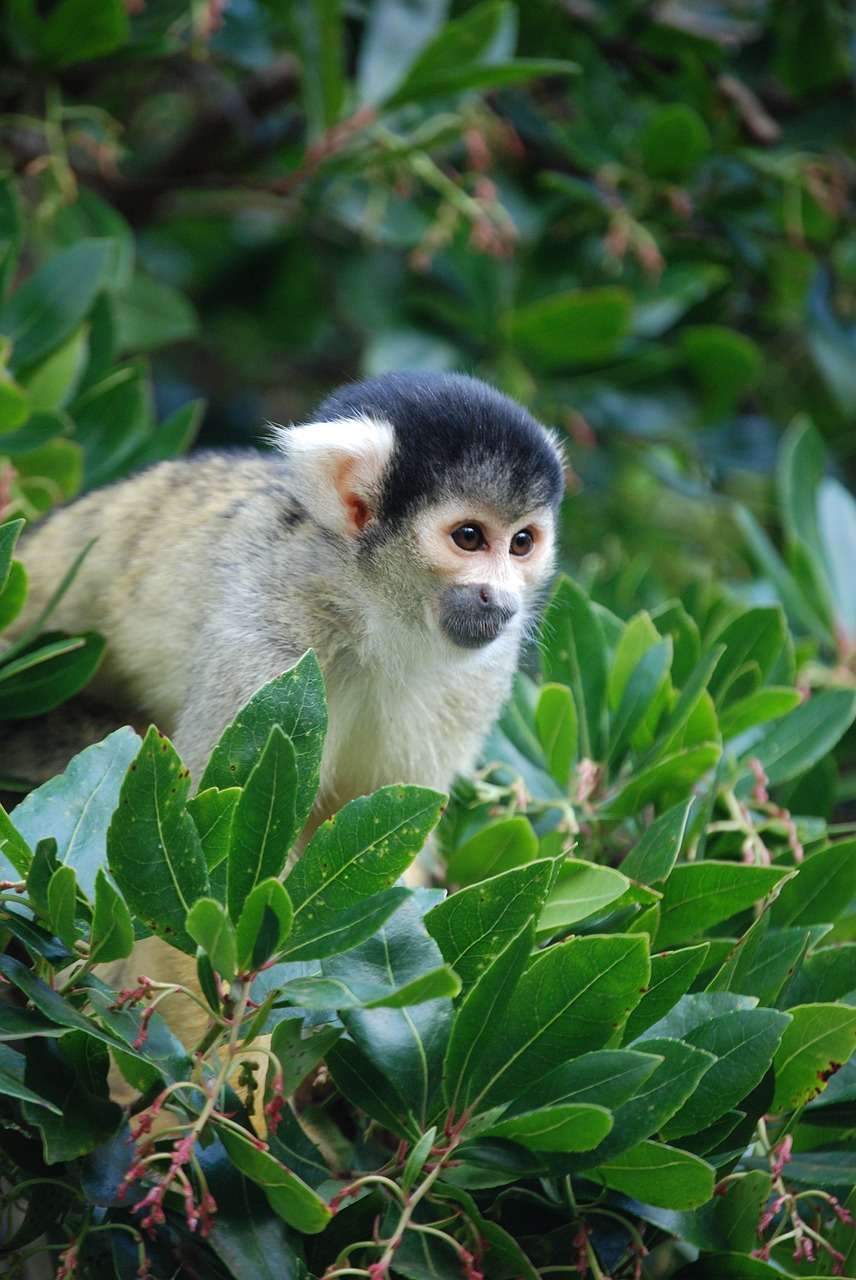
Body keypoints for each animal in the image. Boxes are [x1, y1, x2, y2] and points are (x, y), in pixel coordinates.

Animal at [9, 371, 568, 819]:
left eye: (522, 543)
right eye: (469, 537)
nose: (500, 599)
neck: (373, 619)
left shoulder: (477, 681)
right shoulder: (271, 656)